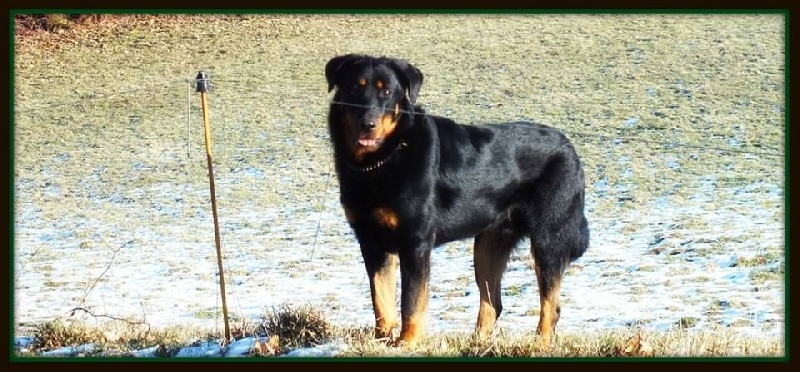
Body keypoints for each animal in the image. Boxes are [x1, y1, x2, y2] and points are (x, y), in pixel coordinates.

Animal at [324, 53, 588, 348]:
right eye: (354, 89)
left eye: (387, 92)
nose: (368, 124)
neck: (383, 159)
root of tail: (570, 148)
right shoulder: (371, 241)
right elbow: (381, 300)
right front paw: (384, 339)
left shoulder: (415, 243)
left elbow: (411, 302)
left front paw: (408, 343)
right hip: (488, 245)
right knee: (492, 303)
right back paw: (478, 344)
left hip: (548, 240)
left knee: (550, 306)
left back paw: (539, 344)